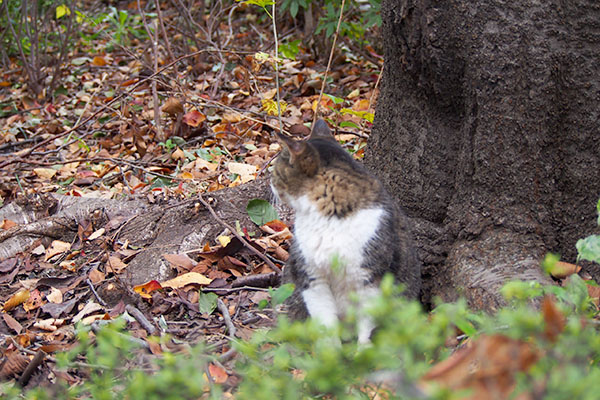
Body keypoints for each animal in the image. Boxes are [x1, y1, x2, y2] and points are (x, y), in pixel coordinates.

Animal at [272, 119, 422, 344]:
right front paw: (330, 351)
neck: (328, 217)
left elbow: (367, 324)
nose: (270, 182)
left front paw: (363, 350)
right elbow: (326, 324)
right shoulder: (312, 276)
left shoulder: (370, 278)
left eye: (275, 170)